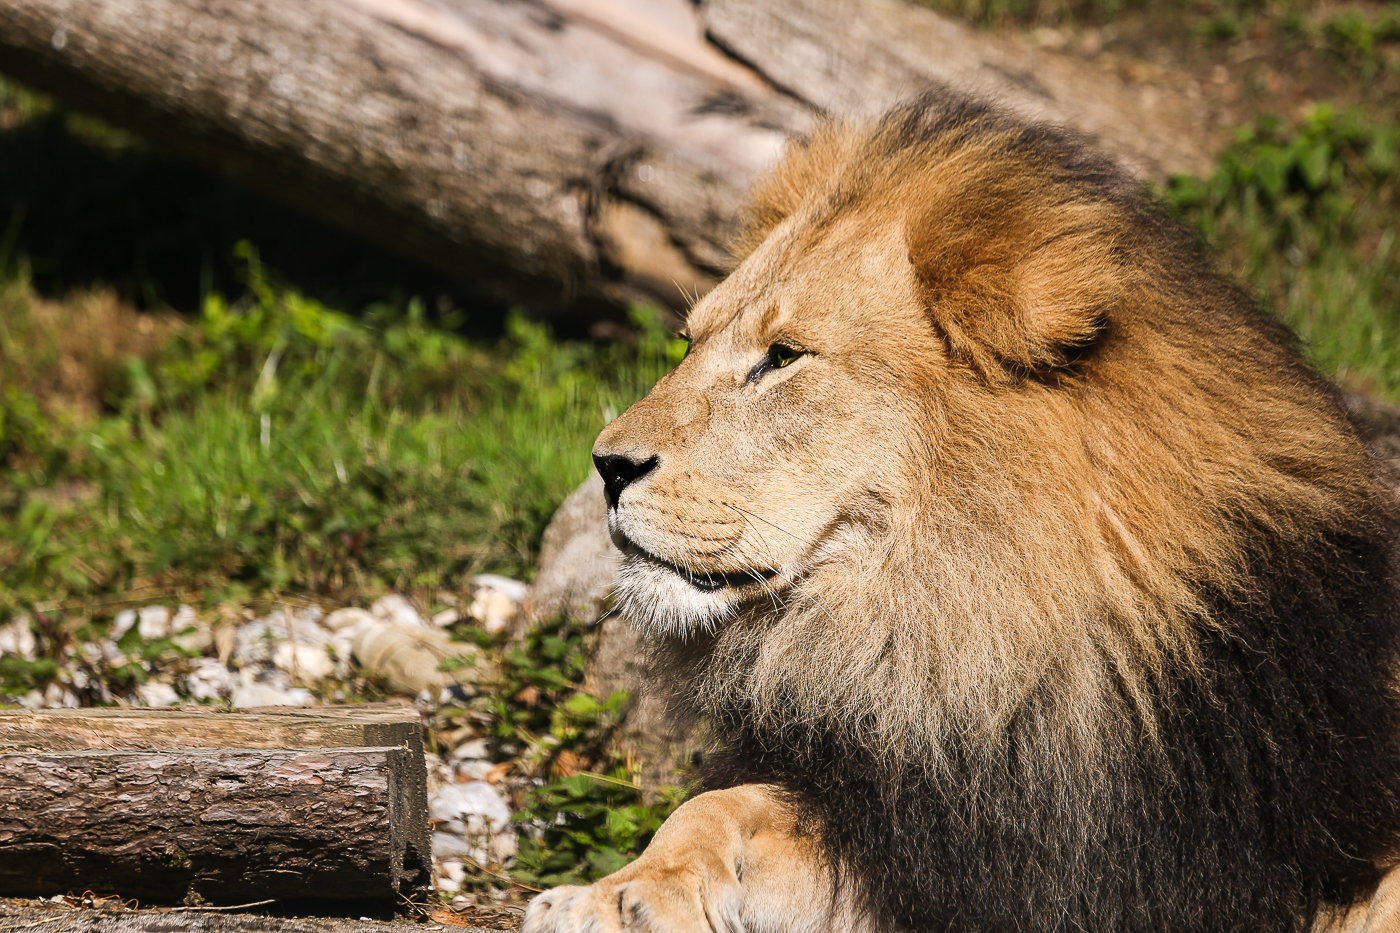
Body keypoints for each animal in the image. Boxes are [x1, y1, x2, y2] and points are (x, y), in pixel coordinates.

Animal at [522, 92, 1400, 933]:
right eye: (688, 341)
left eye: (783, 356)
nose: (606, 465)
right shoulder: (920, 822)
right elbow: (715, 807)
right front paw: (615, 895)